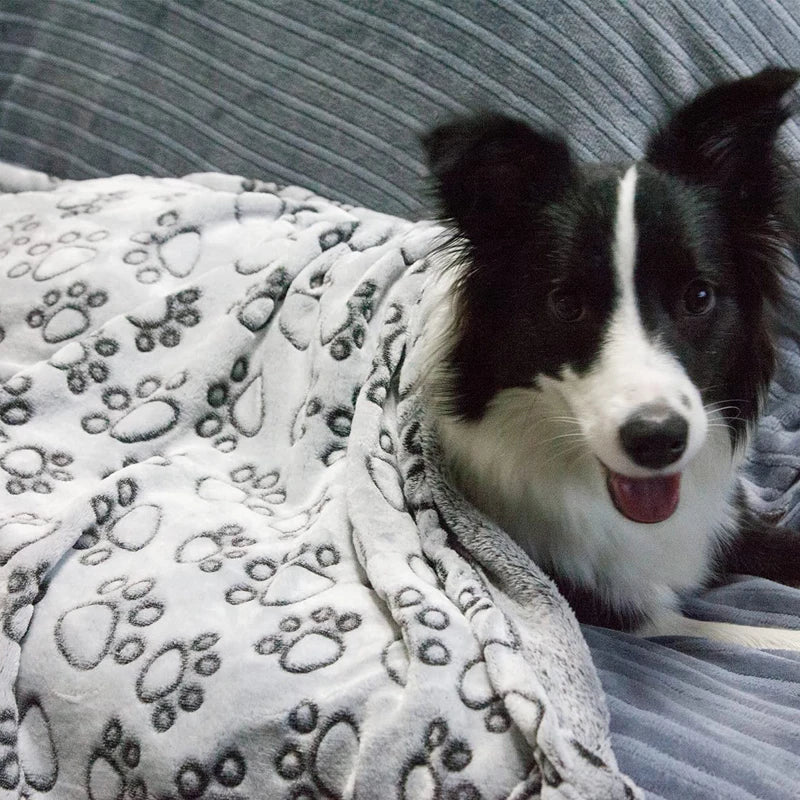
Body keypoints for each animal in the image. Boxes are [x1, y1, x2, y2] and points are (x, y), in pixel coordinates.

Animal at [422, 69, 800, 648]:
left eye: (698, 296)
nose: (657, 440)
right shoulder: (608, 606)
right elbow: (745, 637)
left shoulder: (722, 520)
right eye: (566, 303)